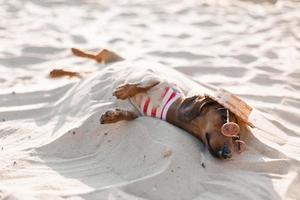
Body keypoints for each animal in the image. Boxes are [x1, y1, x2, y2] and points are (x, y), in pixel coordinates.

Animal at [71, 48, 245, 159]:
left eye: (236, 138)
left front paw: (113, 116)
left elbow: (130, 115)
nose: (228, 155)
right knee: (98, 53)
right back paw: (75, 51)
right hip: (111, 55)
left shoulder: (139, 111)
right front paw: (124, 91)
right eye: (224, 119)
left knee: (82, 70)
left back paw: (65, 71)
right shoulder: (155, 78)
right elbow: (141, 85)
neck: (170, 107)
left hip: (91, 71)